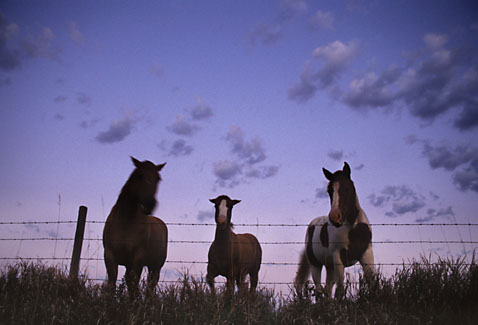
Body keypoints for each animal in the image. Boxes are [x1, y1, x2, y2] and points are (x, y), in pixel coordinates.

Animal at [102, 156, 168, 292]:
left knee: (150, 286)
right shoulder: (110, 256)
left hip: (155, 267)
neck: (125, 222)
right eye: (140, 175)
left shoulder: (138, 259)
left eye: (158, 178)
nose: (150, 204)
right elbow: (112, 284)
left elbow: (134, 286)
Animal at [294, 162, 376, 298]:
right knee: (319, 290)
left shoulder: (366, 255)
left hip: (330, 267)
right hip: (316, 265)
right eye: (329, 191)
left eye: (347, 188)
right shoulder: (338, 257)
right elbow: (340, 291)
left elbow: (372, 284)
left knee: (327, 290)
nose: (335, 217)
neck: (353, 228)